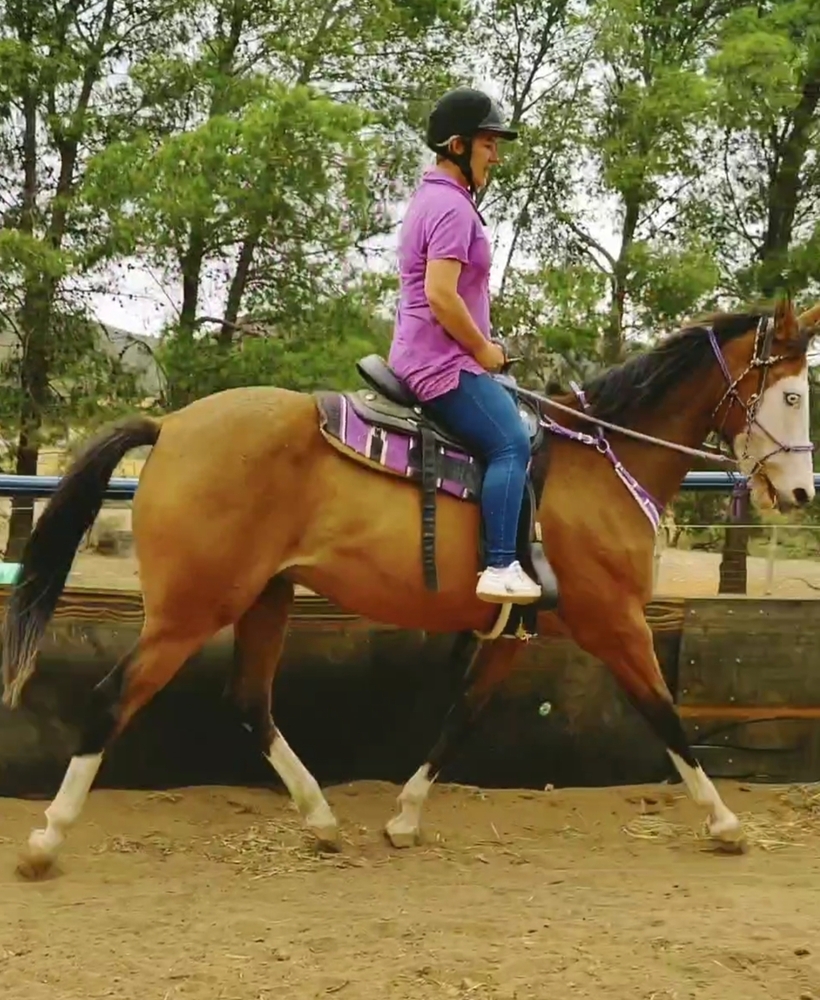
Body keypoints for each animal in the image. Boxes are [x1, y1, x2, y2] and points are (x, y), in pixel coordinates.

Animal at [2, 294, 817, 879]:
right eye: (791, 396)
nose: (802, 491)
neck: (601, 462)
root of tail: (170, 426)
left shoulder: (514, 633)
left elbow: (461, 715)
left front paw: (403, 817)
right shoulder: (617, 622)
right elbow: (666, 717)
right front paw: (726, 823)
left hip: (266, 598)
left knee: (251, 703)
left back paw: (323, 821)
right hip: (191, 610)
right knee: (112, 698)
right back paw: (47, 840)